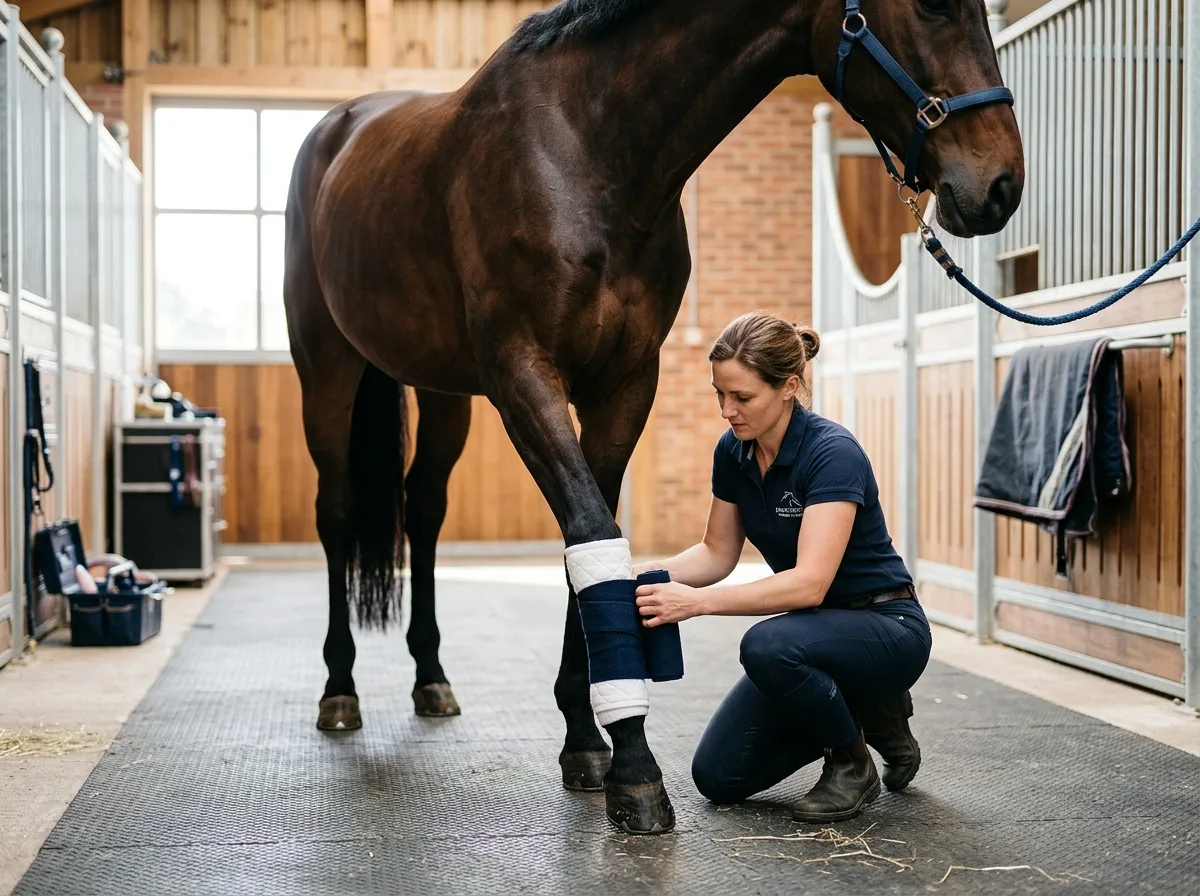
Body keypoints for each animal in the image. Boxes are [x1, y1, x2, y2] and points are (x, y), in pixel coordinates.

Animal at [283, 0, 1024, 836]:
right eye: (933, 7)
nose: (1000, 184)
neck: (588, 152)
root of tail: (338, 127)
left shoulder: (627, 381)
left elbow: (590, 538)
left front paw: (588, 741)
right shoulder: (521, 374)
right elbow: (592, 533)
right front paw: (635, 769)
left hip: (441, 393)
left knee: (424, 510)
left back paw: (431, 678)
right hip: (327, 370)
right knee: (338, 512)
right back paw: (339, 691)